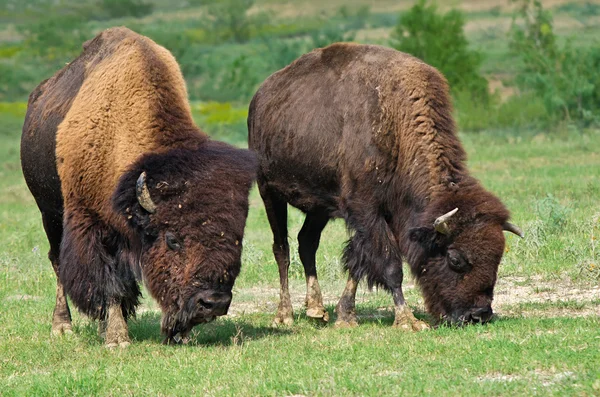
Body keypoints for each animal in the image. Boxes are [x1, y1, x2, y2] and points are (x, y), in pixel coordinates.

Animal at [20, 27, 255, 346]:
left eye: (237, 237)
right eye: (172, 239)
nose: (213, 302)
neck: (119, 134)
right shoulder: (93, 225)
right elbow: (110, 284)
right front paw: (117, 339)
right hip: (49, 212)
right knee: (57, 261)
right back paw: (62, 326)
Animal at [247, 42, 520, 328]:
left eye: (498, 257)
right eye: (455, 258)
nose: (478, 315)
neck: (396, 122)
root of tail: (259, 99)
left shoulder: (375, 214)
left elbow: (358, 261)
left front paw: (346, 315)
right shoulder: (366, 209)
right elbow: (390, 265)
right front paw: (408, 320)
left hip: (319, 207)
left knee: (306, 242)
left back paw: (316, 310)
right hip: (270, 193)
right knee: (282, 249)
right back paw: (284, 315)